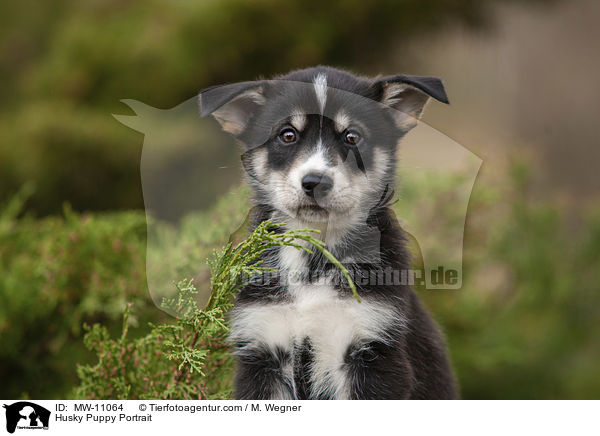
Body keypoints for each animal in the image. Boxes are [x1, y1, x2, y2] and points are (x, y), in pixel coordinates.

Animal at [199, 65, 458, 398]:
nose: (315, 182)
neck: (313, 263)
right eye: (287, 135)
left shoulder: (373, 351)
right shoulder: (263, 350)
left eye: (352, 136)